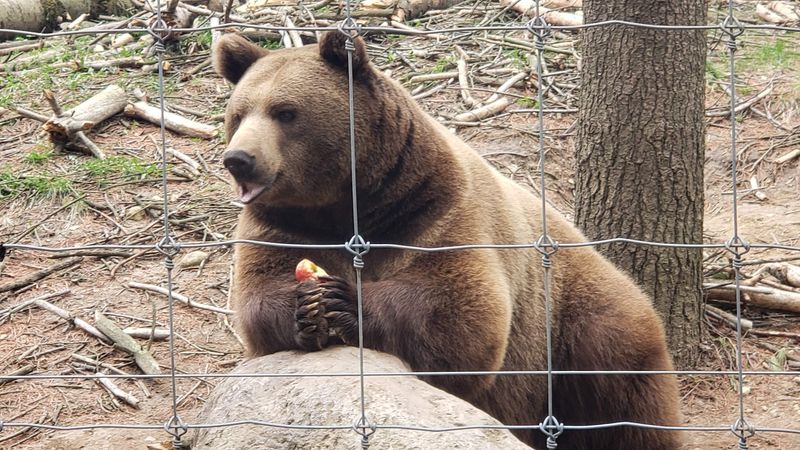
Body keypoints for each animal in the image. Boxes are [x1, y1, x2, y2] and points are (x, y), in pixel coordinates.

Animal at [212, 31, 682, 450]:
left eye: (285, 112)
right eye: (238, 114)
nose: (239, 159)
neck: (350, 206)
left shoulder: (437, 211)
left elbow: (463, 310)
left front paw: (342, 300)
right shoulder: (282, 227)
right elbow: (257, 299)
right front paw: (307, 305)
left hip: (574, 323)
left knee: (620, 389)